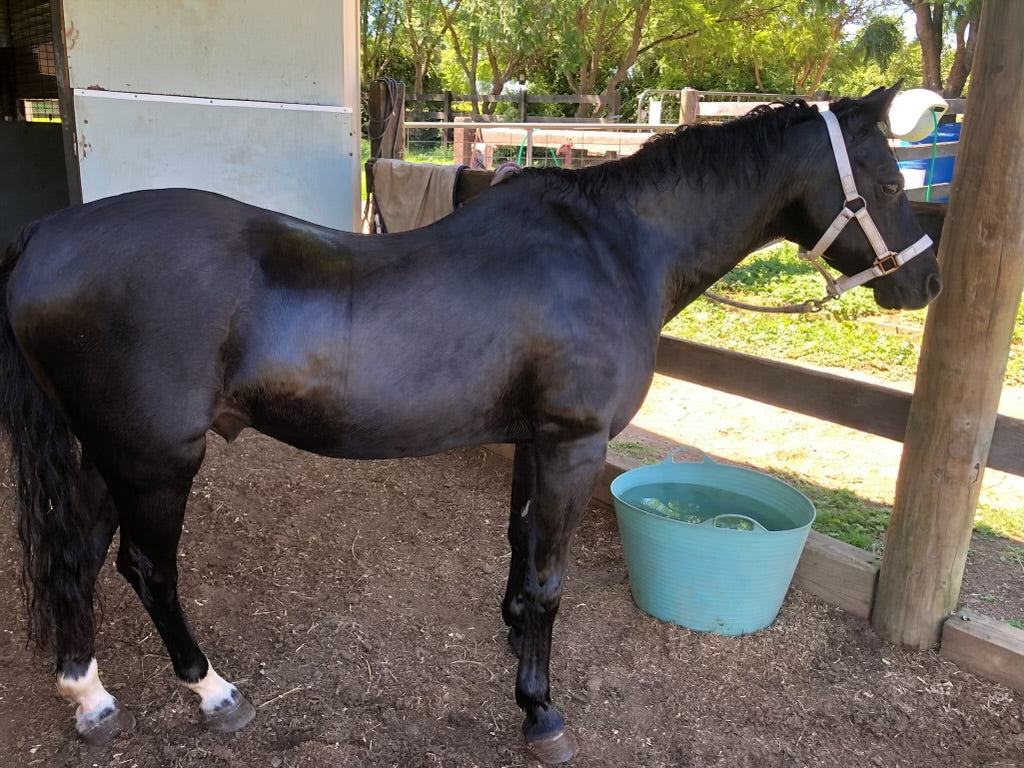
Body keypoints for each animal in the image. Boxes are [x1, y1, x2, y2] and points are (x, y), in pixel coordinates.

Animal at [0, 84, 940, 764]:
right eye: (892, 182)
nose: (922, 283)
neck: (612, 248)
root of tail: (47, 234)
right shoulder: (575, 444)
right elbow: (552, 579)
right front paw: (541, 711)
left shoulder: (536, 440)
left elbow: (521, 547)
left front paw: (516, 641)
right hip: (157, 461)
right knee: (148, 568)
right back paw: (214, 693)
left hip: (110, 455)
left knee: (81, 556)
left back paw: (89, 695)